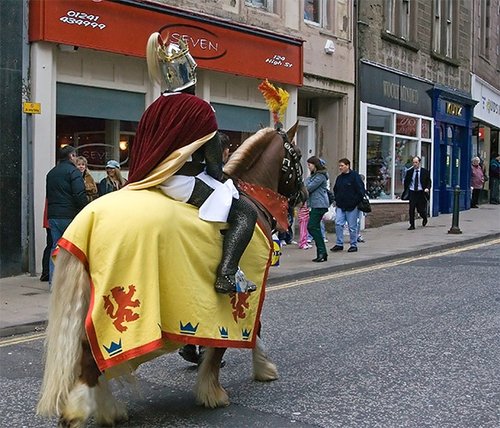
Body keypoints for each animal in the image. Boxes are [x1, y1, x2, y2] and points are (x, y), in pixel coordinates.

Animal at [37, 123, 302, 424]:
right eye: (297, 156)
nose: (303, 194)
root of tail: (87, 220)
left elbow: (247, 331)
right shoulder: (245, 294)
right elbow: (243, 332)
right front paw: (218, 390)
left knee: (90, 350)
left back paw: (107, 409)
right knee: (91, 355)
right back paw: (79, 412)